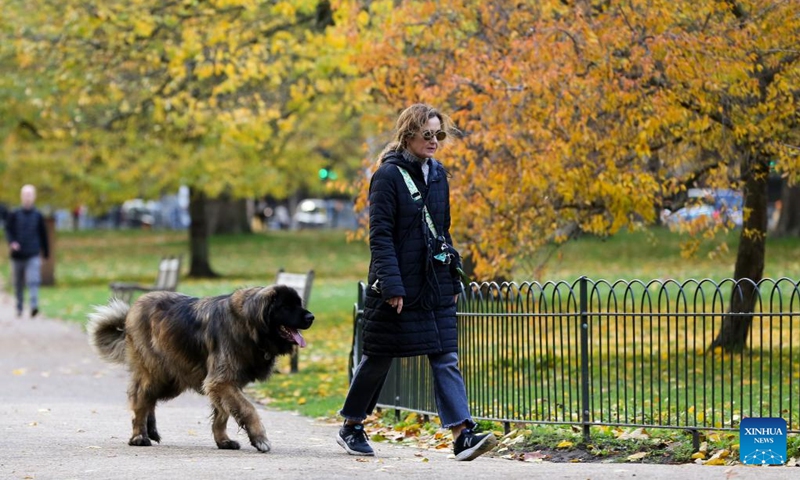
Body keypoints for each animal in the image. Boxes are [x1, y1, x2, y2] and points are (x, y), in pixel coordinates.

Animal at [87, 286, 312, 452]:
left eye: (299, 303)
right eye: (286, 306)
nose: (311, 317)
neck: (249, 325)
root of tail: (134, 308)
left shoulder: (221, 383)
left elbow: (222, 414)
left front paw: (223, 440)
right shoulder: (221, 381)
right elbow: (248, 409)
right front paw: (260, 438)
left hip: (171, 378)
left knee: (147, 398)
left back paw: (150, 430)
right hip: (157, 373)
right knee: (141, 399)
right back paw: (139, 436)